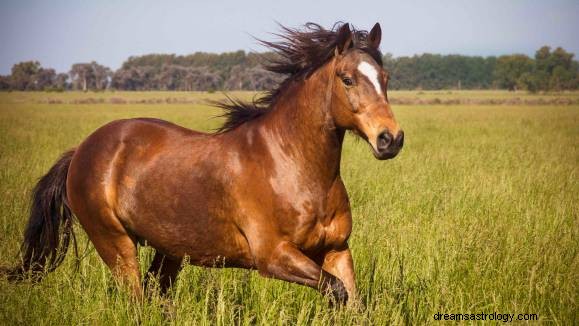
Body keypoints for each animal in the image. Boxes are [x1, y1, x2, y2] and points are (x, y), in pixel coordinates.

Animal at [3, 21, 404, 304]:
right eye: (347, 78)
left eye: (385, 78)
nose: (391, 139)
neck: (293, 168)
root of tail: (81, 151)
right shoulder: (274, 257)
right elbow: (336, 291)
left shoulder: (336, 250)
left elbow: (351, 299)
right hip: (115, 244)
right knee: (136, 300)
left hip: (168, 251)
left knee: (156, 298)